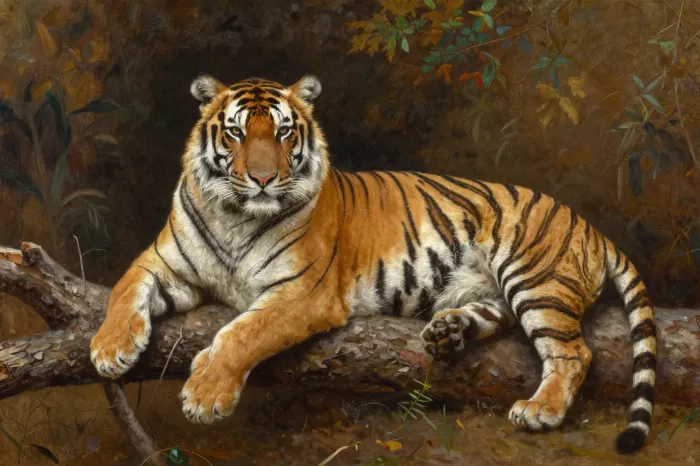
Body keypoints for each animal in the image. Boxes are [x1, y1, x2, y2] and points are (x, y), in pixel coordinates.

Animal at [89, 73, 656, 455]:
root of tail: (591, 227)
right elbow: (124, 285)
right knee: (499, 317)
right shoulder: (164, 262)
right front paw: (109, 349)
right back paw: (447, 332)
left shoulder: (303, 292)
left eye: (284, 133)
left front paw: (206, 396)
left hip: (534, 275)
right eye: (235, 133)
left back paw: (539, 411)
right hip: (497, 288)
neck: (235, 215)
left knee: (573, 353)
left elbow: (243, 333)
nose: (263, 180)